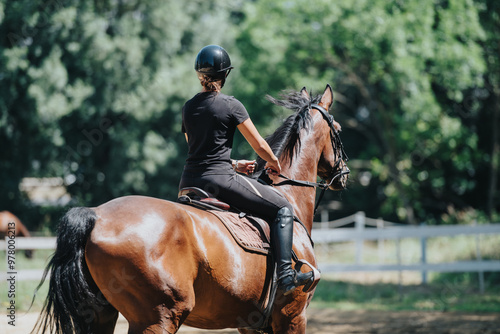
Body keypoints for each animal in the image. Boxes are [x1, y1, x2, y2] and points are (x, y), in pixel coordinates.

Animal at [33, 85, 350, 332]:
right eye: (338, 130)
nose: (344, 175)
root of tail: (96, 215)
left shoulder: (250, 324)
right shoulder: (292, 316)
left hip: (102, 314)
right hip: (160, 317)